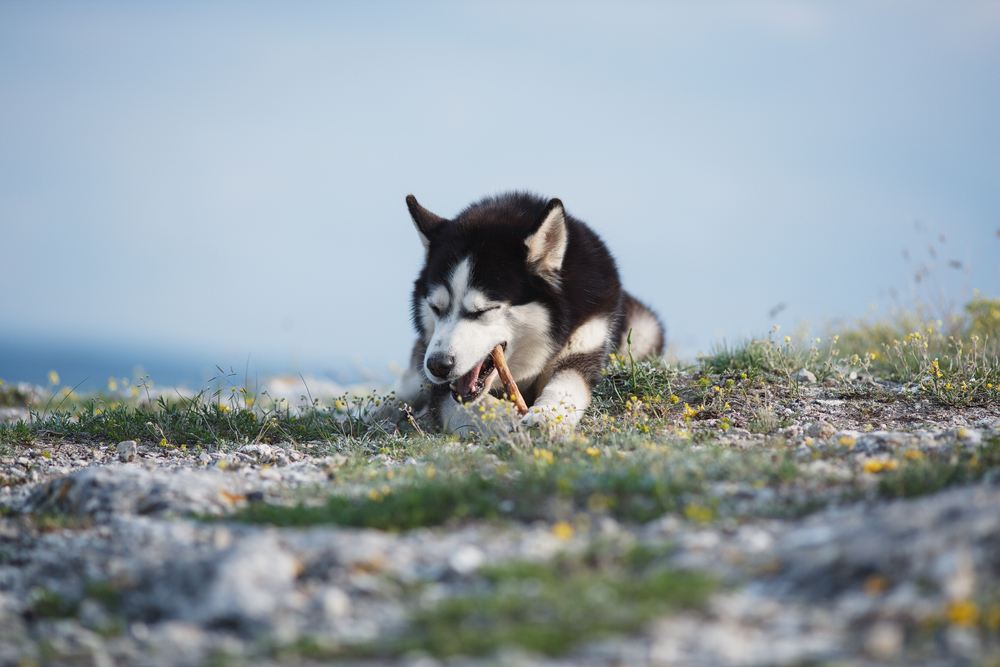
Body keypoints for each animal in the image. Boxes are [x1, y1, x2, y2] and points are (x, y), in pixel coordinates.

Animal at [386, 190, 660, 436]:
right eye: (436, 308)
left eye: (484, 309)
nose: (438, 365)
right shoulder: (442, 389)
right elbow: (474, 406)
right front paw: (507, 418)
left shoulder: (585, 341)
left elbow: (567, 386)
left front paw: (547, 415)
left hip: (644, 331)